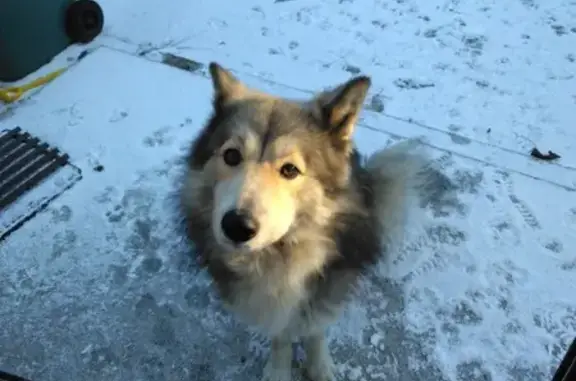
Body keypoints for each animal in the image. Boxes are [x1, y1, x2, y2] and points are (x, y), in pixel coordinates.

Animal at [179, 63, 428, 380]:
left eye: (290, 170)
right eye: (231, 156)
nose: (237, 226)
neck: (279, 256)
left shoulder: (324, 287)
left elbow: (315, 328)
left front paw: (319, 366)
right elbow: (281, 334)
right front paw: (279, 368)